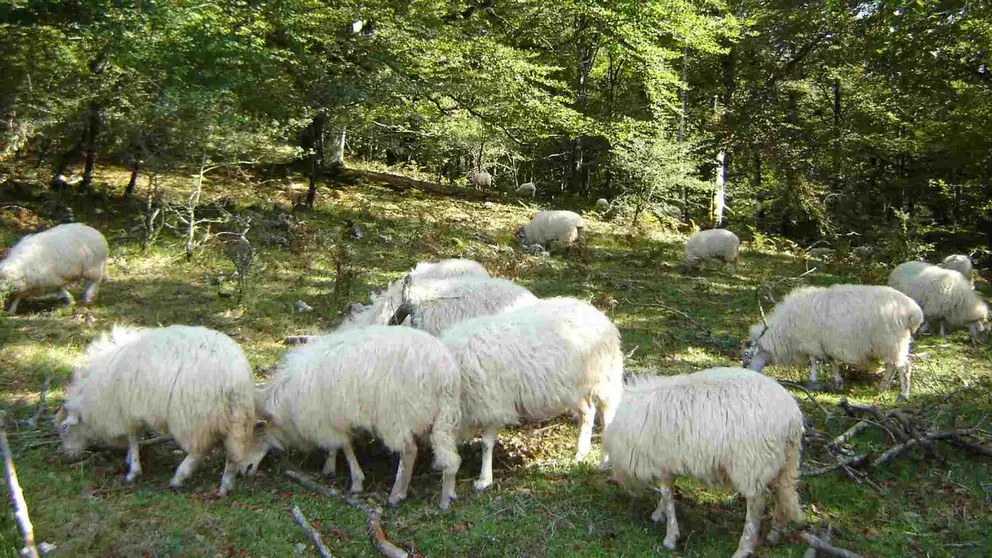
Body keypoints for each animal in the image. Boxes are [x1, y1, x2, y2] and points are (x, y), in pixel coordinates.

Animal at [56, 325, 255, 495]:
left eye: (64, 427)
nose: (66, 456)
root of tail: (235, 376)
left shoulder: (127, 412)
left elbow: (133, 438)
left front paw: (133, 470)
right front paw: (130, 459)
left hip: (192, 418)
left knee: (199, 450)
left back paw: (178, 478)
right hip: (237, 418)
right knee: (233, 454)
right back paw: (225, 485)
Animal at [243, 326, 462, 509]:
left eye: (256, 430)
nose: (243, 470)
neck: (287, 407)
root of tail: (444, 372)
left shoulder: (327, 420)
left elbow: (345, 445)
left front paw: (356, 481)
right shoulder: (332, 418)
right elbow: (337, 446)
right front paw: (330, 467)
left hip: (394, 416)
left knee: (409, 451)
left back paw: (397, 494)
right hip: (445, 415)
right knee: (450, 457)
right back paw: (447, 495)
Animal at [440, 297, 624, 490]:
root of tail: (599, 315)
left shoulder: (493, 404)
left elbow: (486, 444)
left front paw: (484, 479)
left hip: (603, 380)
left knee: (607, 418)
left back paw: (604, 462)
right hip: (574, 388)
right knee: (587, 411)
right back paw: (580, 452)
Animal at [604, 367, 804, 558]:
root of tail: (793, 419)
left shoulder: (663, 463)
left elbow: (667, 495)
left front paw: (670, 536)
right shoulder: (670, 463)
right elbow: (666, 494)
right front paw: (658, 515)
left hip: (751, 464)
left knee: (756, 506)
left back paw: (743, 548)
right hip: (780, 464)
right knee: (782, 497)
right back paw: (774, 535)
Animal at [743, 284, 924, 400]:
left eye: (747, 354)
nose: (749, 373)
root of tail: (913, 312)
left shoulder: (811, 342)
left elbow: (813, 361)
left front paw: (813, 381)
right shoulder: (824, 344)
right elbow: (831, 361)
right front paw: (838, 382)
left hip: (892, 342)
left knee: (904, 367)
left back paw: (903, 395)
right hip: (892, 345)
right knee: (892, 365)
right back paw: (882, 387)